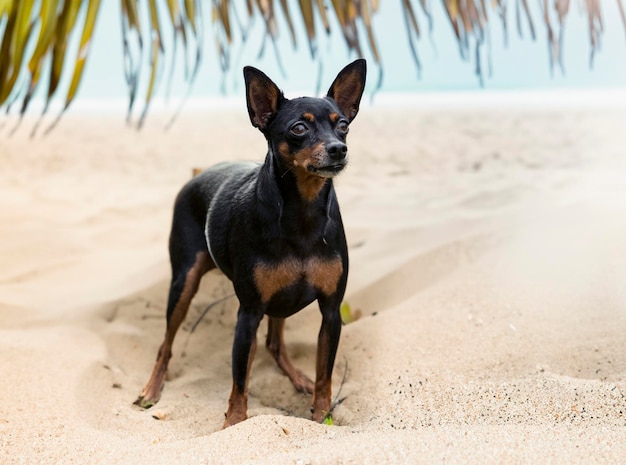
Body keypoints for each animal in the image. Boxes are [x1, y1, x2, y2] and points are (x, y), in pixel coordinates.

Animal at [133, 58, 366, 428]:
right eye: (299, 128)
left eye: (342, 125)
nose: (338, 149)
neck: (302, 212)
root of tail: (199, 173)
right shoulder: (249, 313)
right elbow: (240, 379)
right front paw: (234, 423)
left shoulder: (331, 312)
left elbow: (325, 376)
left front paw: (320, 416)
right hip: (184, 282)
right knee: (165, 345)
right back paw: (151, 390)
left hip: (279, 298)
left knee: (274, 344)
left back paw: (297, 377)